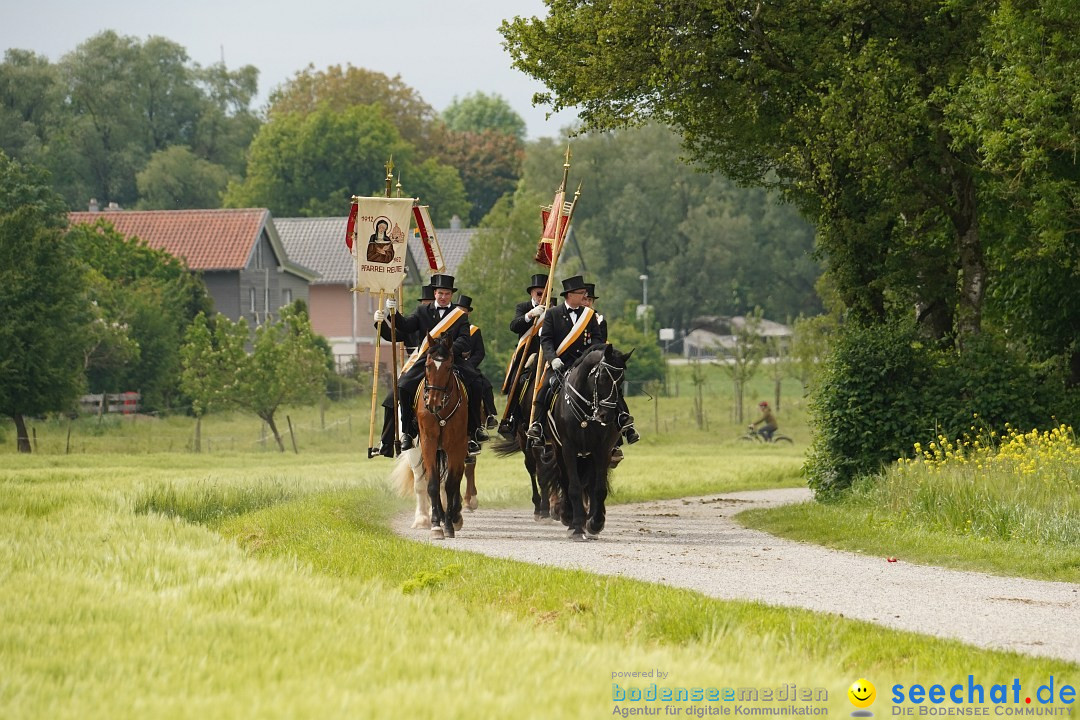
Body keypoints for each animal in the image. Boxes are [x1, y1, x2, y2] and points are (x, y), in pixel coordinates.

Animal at [544, 343, 630, 539]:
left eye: (621, 380)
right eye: (604, 377)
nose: (607, 416)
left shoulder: (602, 450)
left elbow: (598, 489)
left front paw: (595, 524)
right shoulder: (568, 448)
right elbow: (574, 487)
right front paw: (576, 525)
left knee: (591, 486)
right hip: (560, 452)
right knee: (565, 480)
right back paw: (569, 517)